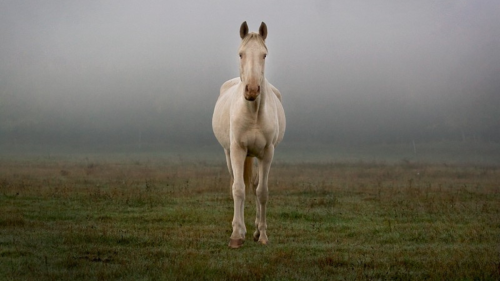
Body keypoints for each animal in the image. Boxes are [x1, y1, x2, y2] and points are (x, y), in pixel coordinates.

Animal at [213, 23, 288, 248]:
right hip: (230, 154)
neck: (253, 111)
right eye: (241, 54)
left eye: (264, 55)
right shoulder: (237, 149)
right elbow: (238, 189)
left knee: (254, 185)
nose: (252, 90)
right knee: (238, 184)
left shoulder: (267, 153)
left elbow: (262, 191)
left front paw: (262, 234)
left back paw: (254, 230)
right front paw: (237, 235)